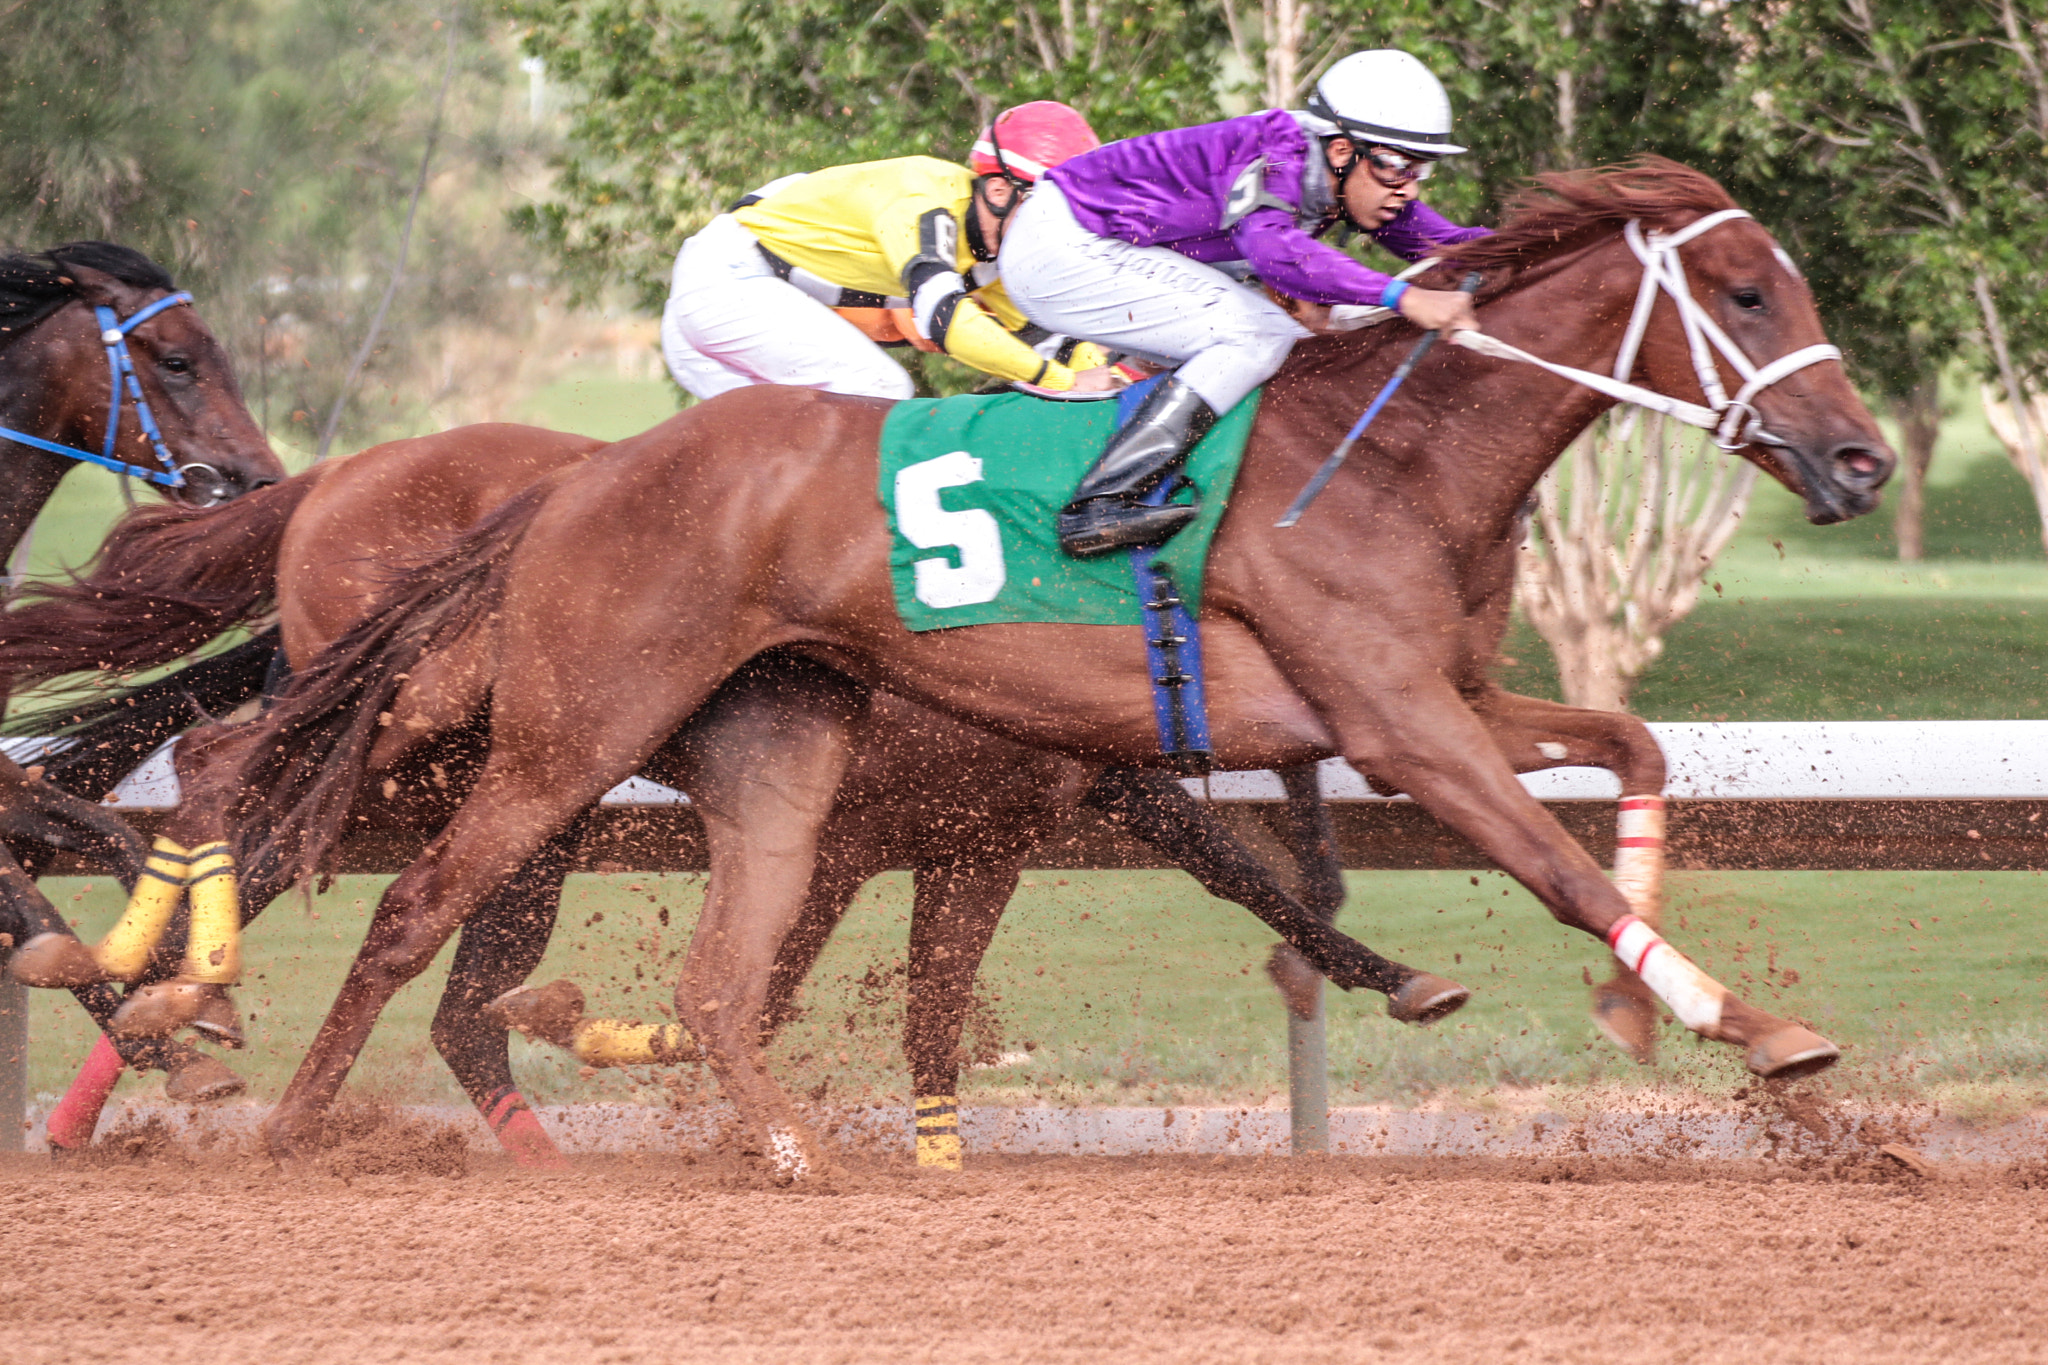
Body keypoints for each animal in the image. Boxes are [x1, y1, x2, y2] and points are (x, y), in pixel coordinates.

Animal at [2, 422, 1464, 1166]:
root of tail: (333, 475)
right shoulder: (971, 815)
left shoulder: (926, 819)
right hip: (462, 764)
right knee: (276, 849)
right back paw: (156, 1040)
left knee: (409, 961)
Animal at [165, 159, 1892, 1174]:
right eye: (1748, 292)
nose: (1864, 459)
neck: (1392, 458)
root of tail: (586, 478)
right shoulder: (1396, 729)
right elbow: (1553, 864)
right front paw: (1758, 1033)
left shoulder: (1442, 705)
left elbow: (1632, 749)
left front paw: (1648, 1013)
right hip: (560, 736)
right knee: (391, 896)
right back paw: (272, 1112)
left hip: (768, 751)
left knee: (714, 980)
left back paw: (796, 1156)